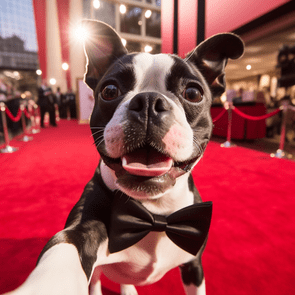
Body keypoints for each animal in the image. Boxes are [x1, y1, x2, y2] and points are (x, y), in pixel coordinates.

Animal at [5, 20, 244, 295]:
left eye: (193, 93)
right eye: (109, 90)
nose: (149, 101)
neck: (155, 212)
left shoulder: (194, 265)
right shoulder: (82, 229)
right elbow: (66, 245)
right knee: (98, 280)